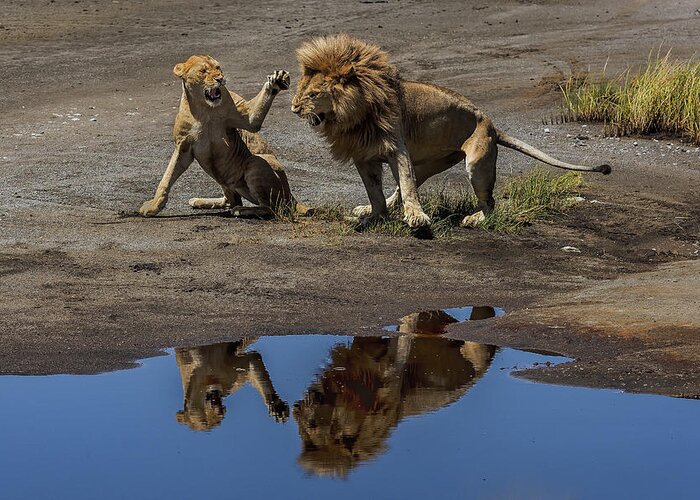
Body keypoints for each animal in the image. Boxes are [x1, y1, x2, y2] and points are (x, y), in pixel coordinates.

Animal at [139, 55, 306, 219]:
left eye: (218, 68)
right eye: (203, 71)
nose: (220, 79)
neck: (204, 110)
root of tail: (291, 196)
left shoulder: (249, 119)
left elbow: (253, 118)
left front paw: (277, 80)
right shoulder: (183, 147)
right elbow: (167, 177)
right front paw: (153, 206)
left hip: (255, 162)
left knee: (271, 208)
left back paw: (242, 210)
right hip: (224, 180)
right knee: (231, 200)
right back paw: (200, 201)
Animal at [292, 35, 608, 229]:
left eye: (314, 94)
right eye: (300, 90)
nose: (294, 108)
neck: (353, 113)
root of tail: (493, 125)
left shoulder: (396, 146)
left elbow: (406, 184)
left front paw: (416, 219)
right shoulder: (363, 155)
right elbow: (377, 191)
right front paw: (375, 216)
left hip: (476, 164)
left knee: (489, 202)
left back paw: (475, 219)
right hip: (431, 163)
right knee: (408, 184)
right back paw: (374, 209)